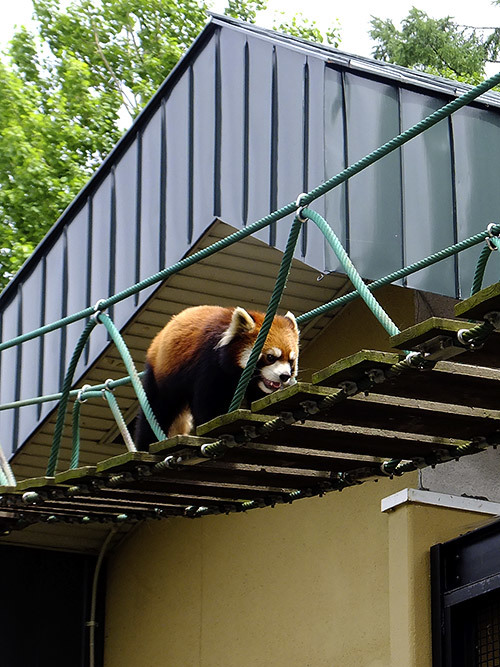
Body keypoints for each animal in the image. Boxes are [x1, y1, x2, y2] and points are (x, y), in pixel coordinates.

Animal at [134, 306, 300, 452]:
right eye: (270, 357)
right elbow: (207, 404)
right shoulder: (208, 365)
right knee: (158, 407)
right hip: (161, 372)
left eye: (291, 361)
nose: (284, 376)